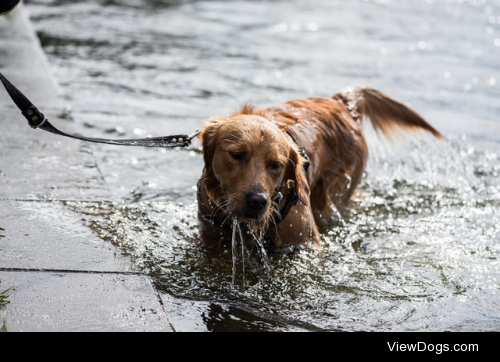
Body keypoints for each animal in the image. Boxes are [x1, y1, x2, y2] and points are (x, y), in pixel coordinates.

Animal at [196, 85, 442, 249]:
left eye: (276, 165)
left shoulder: (306, 241)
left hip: (333, 196)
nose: (257, 201)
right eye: (236, 155)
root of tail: (341, 103)